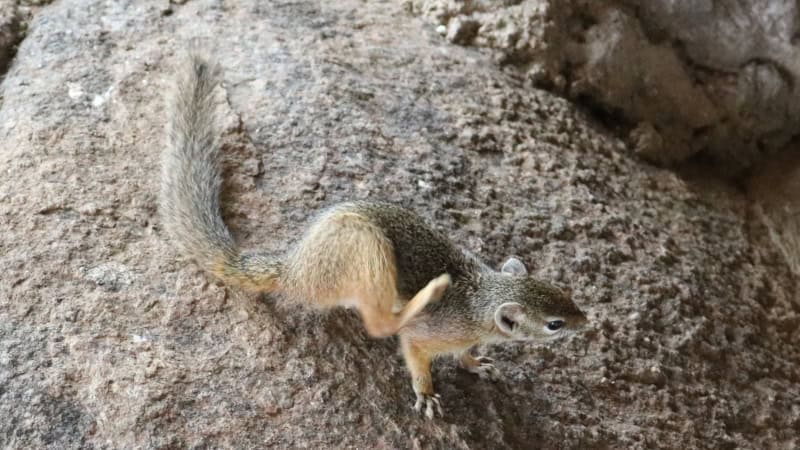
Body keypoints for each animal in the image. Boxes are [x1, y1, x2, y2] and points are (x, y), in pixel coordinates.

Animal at [160, 52, 588, 419]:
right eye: (555, 324)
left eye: (567, 295)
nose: (586, 322)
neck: (482, 300)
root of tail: (294, 269)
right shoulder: (425, 339)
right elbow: (415, 355)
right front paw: (427, 393)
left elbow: (468, 355)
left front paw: (476, 363)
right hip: (365, 247)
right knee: (380, 322)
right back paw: (424, 296)